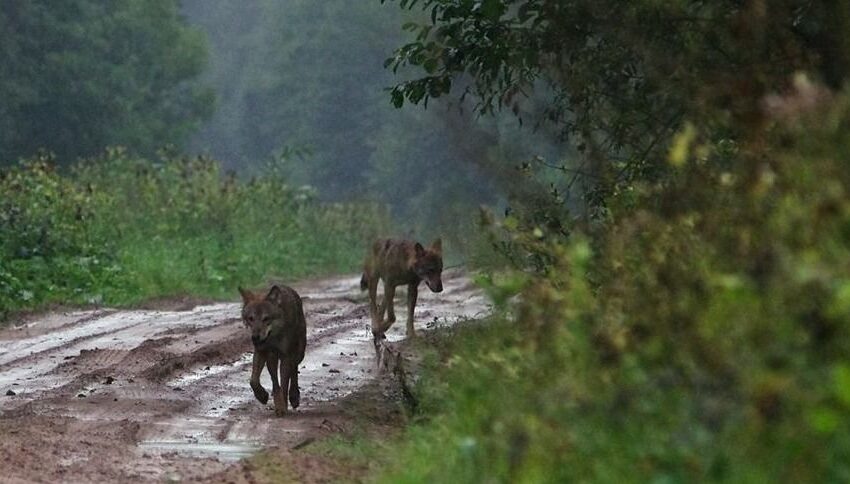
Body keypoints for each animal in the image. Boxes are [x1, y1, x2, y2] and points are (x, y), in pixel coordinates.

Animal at [237, 286, 306, 418]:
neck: (273, 337)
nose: (255, 337)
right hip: (273, 358)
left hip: (299, 352)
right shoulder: (262, 352)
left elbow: (283, 384)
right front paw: (263, 396)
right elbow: (255, 381)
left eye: (266, 318)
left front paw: (282, 407)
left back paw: (294, 397)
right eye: (251, 318)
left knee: (294, 369)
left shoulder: (285, 356)